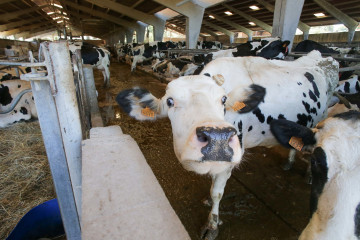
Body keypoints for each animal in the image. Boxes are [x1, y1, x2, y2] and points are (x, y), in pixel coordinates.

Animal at [114, 50, 338, 240]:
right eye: (170, 101)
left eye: (223, 99)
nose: (217, 137)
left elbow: (217, 192)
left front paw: (212, 225)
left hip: (322, 118)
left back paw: (310, 174)